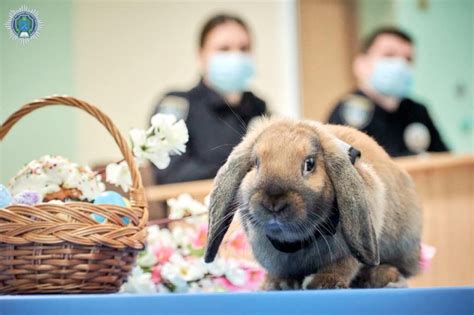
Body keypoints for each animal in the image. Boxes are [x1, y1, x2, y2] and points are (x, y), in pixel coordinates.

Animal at [204, 119, 422, 292]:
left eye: (309, 164)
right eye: (256, 163)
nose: (273, 202)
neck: (293, 242)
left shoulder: (347, 252)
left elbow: (342, 265)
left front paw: (323, 283)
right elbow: (277, 273)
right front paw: (276, 285)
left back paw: (382, 276)